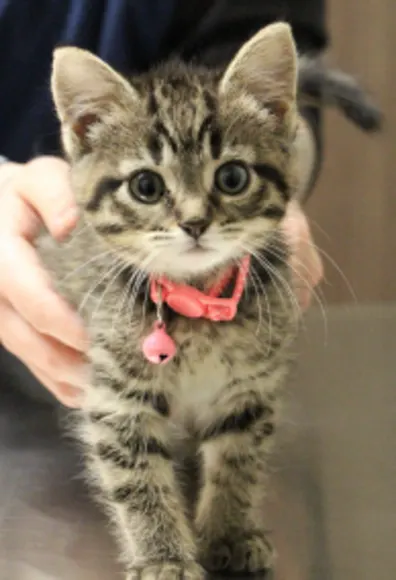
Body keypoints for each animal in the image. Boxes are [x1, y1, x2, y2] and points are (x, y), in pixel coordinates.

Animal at [38, 21, 380, 580]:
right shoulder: (117, 398)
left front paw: (230, 532)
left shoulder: (252, 389)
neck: (197, 303)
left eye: (232, 177)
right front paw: (163, 556)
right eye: (146, 185)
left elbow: (239, 461)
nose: (195, 223)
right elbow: (137, 479)